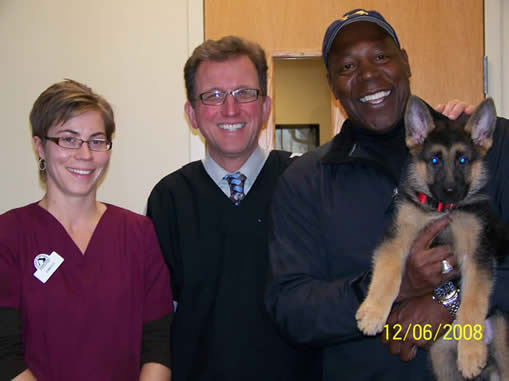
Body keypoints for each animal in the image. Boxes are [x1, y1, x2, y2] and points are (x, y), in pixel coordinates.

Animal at [354, 94, 508, 378]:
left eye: (462, 160)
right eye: (434, 161)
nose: (450, 190)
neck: (442, 210)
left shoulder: (477, 256)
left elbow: (473, 301)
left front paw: (471, 352)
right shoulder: (398, 237)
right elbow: (388, 273)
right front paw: (373, 312)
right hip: (441, 361)